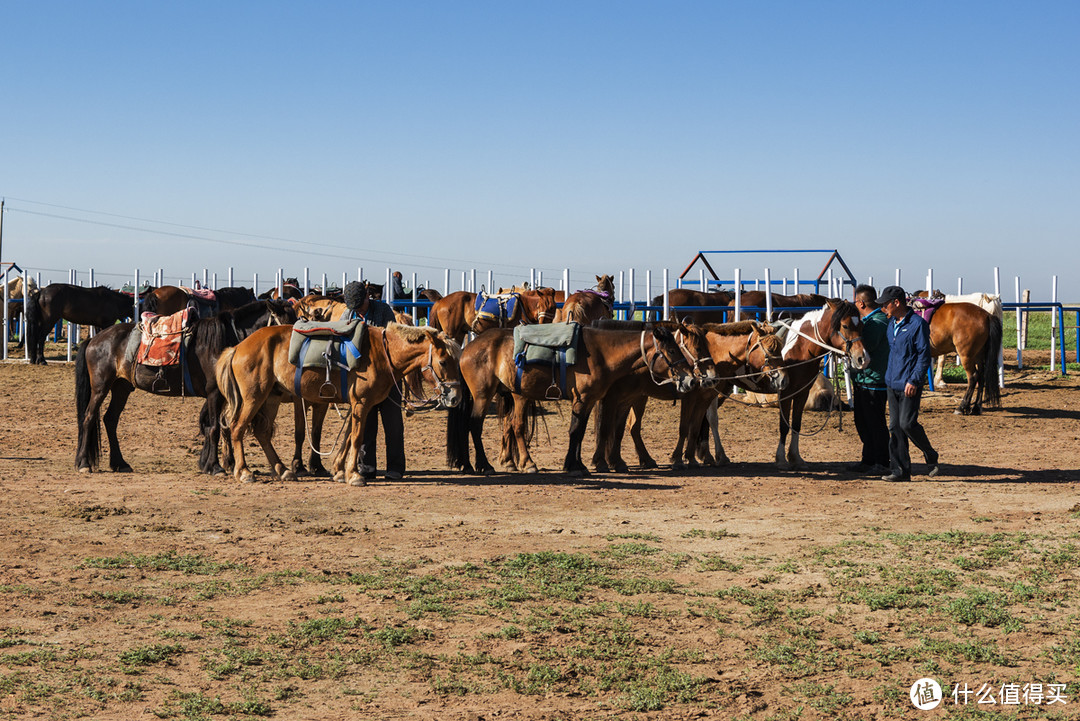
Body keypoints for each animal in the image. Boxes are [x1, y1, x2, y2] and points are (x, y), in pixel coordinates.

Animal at [214, 321, 460, 483]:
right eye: (443, 361)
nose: (455, 397)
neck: (383, 354)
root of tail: (238, 347)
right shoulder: (361, 403)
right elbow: (357, 437)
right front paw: (354, 475)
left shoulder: (358, 405)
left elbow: (349, 435)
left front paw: (340, 470)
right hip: (253, 398)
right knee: (236, 428)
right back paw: (244, 472)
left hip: (270, 399)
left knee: (262, 433)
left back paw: (282, 470)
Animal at [447, 323, 699, 474]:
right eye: (673, 351)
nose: (691, 380)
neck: (601, 353)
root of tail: (468, 347)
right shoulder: (583, 399)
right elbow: (575, 431)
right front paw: (575, 465)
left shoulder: (589, 401)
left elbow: (580, 432)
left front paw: (577, 463)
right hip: (483, 397)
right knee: (474, 426)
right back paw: (484, 464)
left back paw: (474, 464)